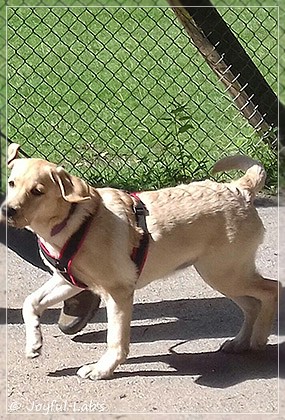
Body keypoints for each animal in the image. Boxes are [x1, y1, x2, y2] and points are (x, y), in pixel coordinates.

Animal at [1, 144, 278, 380]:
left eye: (37, 191)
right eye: (11, 183)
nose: (7, 210)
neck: (74, 221)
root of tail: (239, 188)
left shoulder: (118, 292)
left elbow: (116, 338)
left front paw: (103, 369)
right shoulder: (68, 281)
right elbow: (30, 303)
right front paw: (34, 342)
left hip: (225, 273)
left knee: (272, 289)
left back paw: (259, 338)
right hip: (223, 274)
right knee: (253, 304)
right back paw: (240, 342)